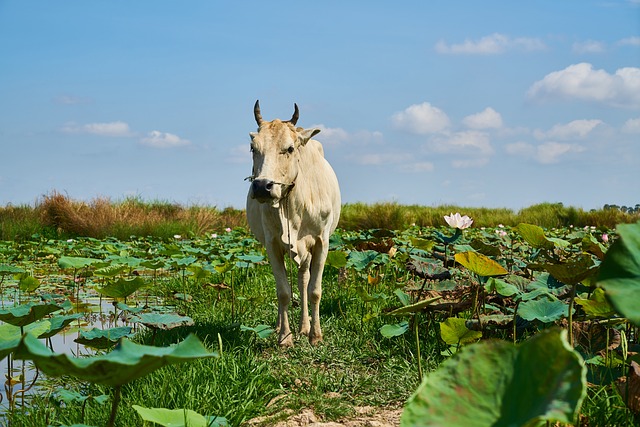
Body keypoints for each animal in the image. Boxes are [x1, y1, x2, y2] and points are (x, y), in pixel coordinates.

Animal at [246, 101, 340, 348]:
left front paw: (316, 335)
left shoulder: (321, 242)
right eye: (253, 148)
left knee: (303, 280)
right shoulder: (272, 244)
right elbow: (283, 292)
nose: (262, 186)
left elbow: (314, 290)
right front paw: (285, 337)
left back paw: (305, 327)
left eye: (289, 149)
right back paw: (283, 326)